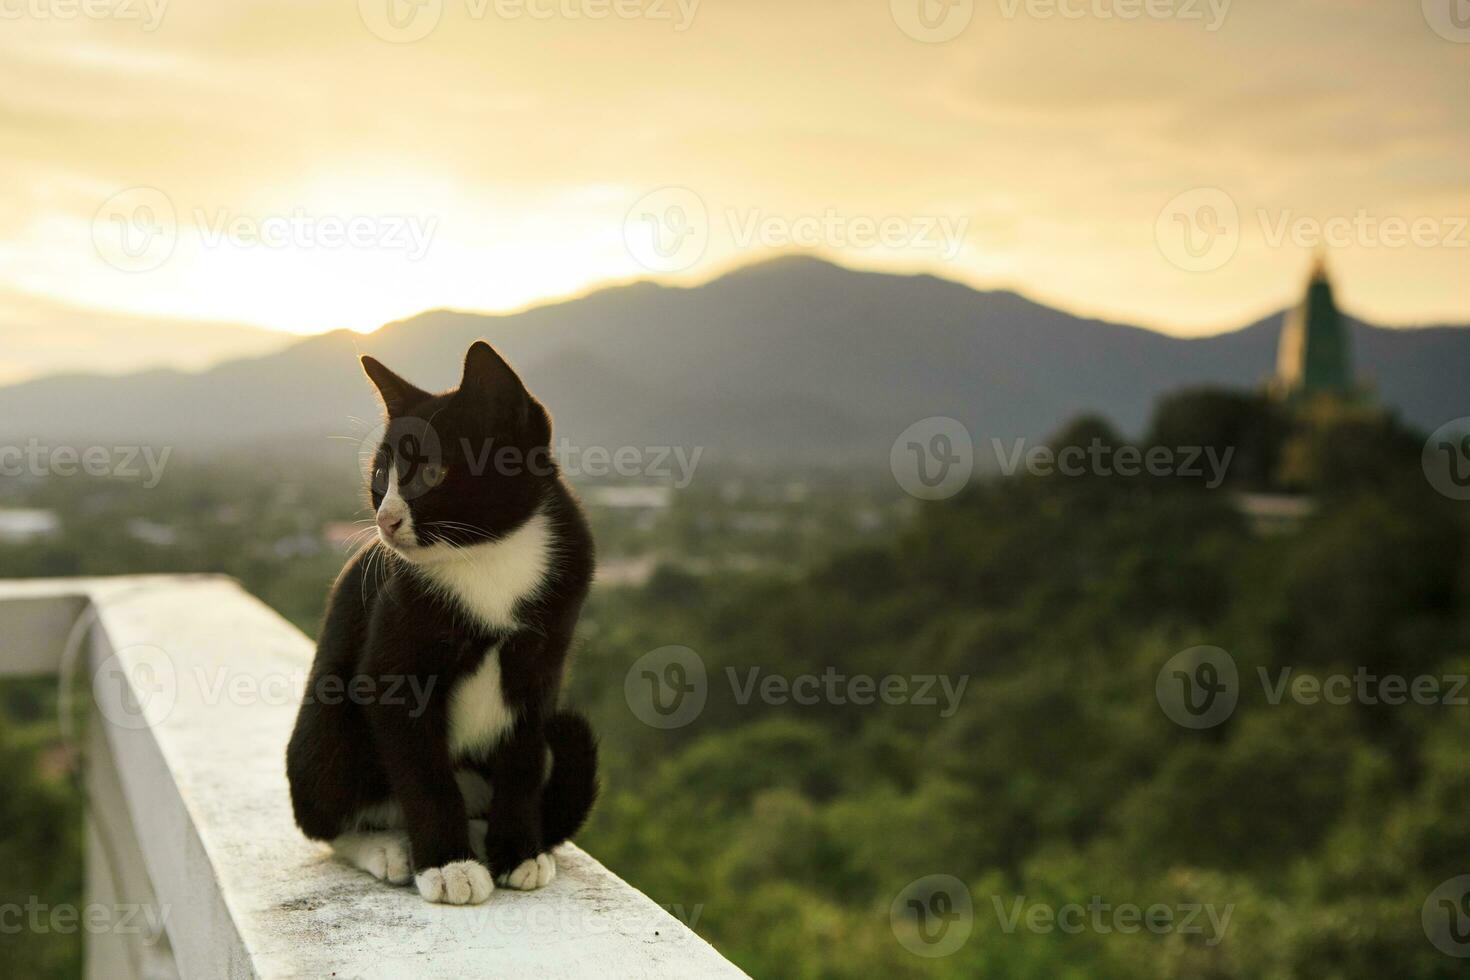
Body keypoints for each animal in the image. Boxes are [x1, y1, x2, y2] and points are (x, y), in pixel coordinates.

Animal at [286, 340, 596, 910]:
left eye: (430, 474)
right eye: (379, 478)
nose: (385, 520)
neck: (487, 554)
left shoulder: (542, 664)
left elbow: (522, 758)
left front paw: (518, 850)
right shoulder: (393, 664)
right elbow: (423, 773)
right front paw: (449, 865)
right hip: (326, 725)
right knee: (328, 817)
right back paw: (387, 846)